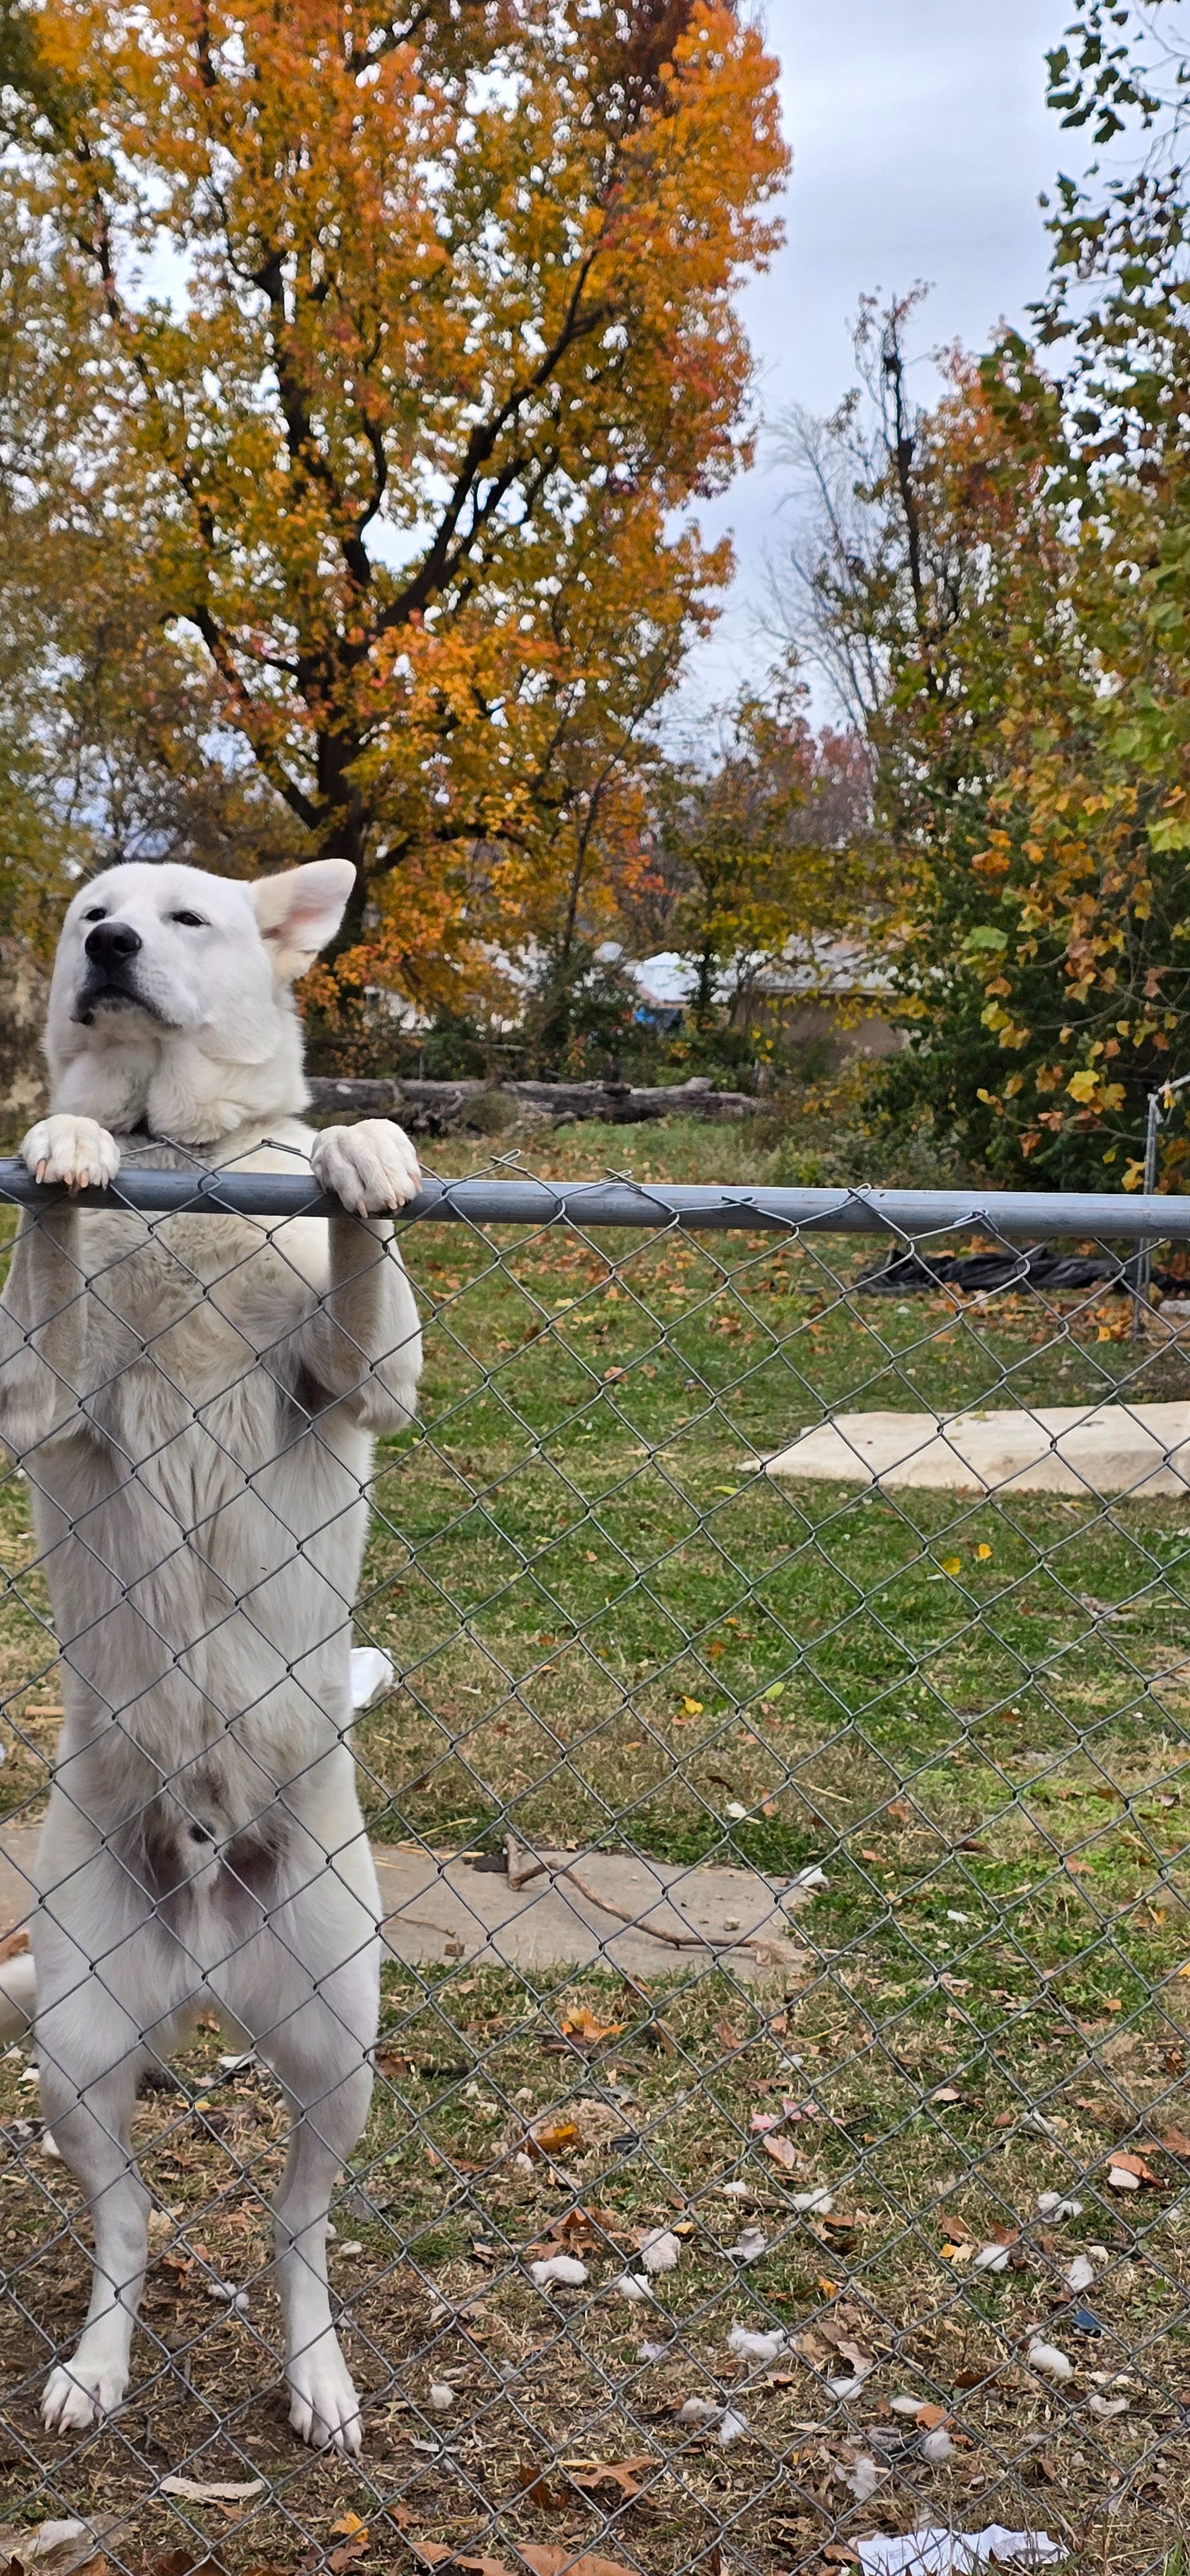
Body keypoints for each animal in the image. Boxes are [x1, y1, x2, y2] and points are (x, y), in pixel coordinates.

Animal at [0, 857, 422, 2454]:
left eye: (186, 917)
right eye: (90, 914)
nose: (113, 946)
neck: (176, 1157)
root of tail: (203, 1932)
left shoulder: (366, 1375)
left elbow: (359, 1255)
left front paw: (364, 1144)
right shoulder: (31, 1391)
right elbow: (52, 1226)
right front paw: (63, 1136)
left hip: (338, 2052)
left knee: (298, 2230)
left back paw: (319, 2374)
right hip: (76, 2048)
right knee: (131, 2222)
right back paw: (96, 2363)